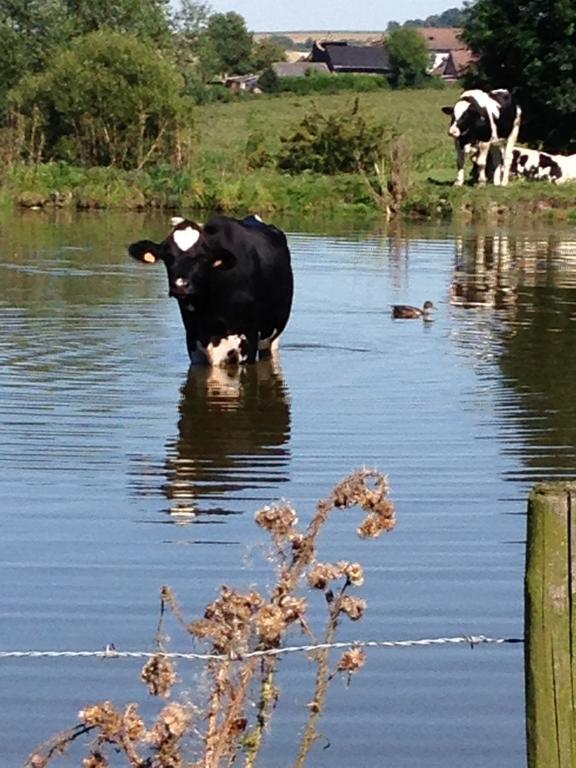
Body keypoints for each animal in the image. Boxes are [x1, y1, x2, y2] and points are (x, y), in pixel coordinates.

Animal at [129, 214, 294, 368]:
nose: (180, 285)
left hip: (272, 336)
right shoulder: (194, 342)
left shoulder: (249, 339)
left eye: (202, 257)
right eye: (167, 257)